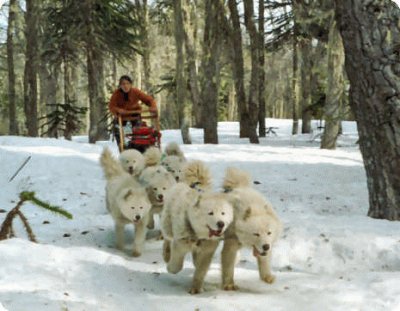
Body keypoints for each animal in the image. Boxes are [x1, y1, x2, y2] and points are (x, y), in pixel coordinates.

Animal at [160, 161, 233, 294]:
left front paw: (196, 288)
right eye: (210, 213)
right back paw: (166, 254)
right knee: (167, 238)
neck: (198, 235)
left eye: (223, 213)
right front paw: (170, 268)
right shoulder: (180, 244)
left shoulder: (207, 251)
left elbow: (200, 270)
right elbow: (176, 266)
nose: (221, 223)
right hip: (168, 225)